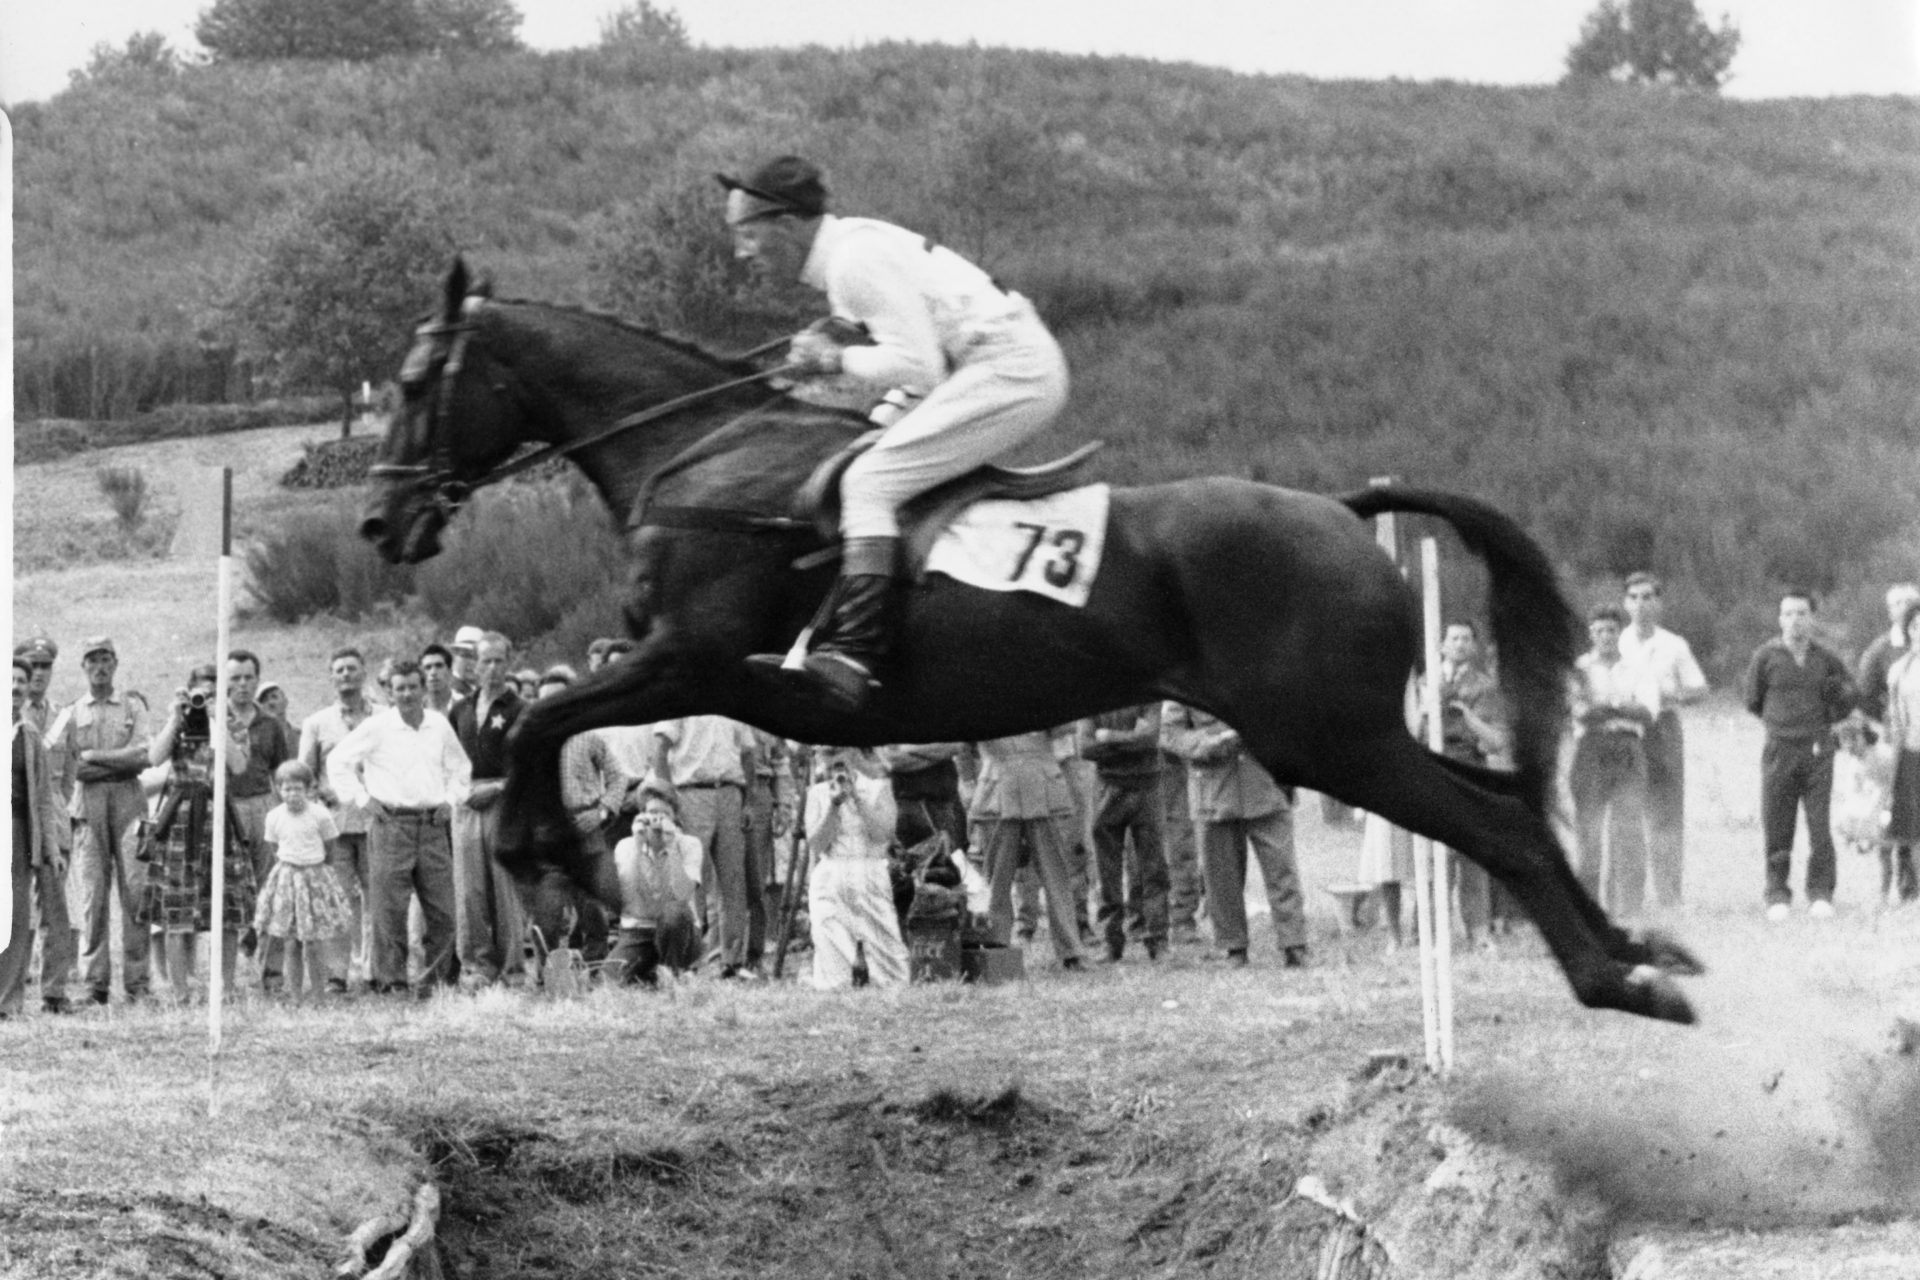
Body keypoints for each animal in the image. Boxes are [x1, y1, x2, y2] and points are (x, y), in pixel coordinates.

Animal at [366, 262, 1704, 1028]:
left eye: (417, 381)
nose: (382, 519)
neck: (701, 454)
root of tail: (1340, 510)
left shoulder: (695, 663)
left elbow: (546, 719)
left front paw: (555, 861)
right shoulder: (756, 690)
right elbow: (558, 719)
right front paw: (570, 865)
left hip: (1325, 739)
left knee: (1497, 824)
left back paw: (1617, 977)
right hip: (1356, 731)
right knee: (1513, 802)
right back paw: (1640, 948)